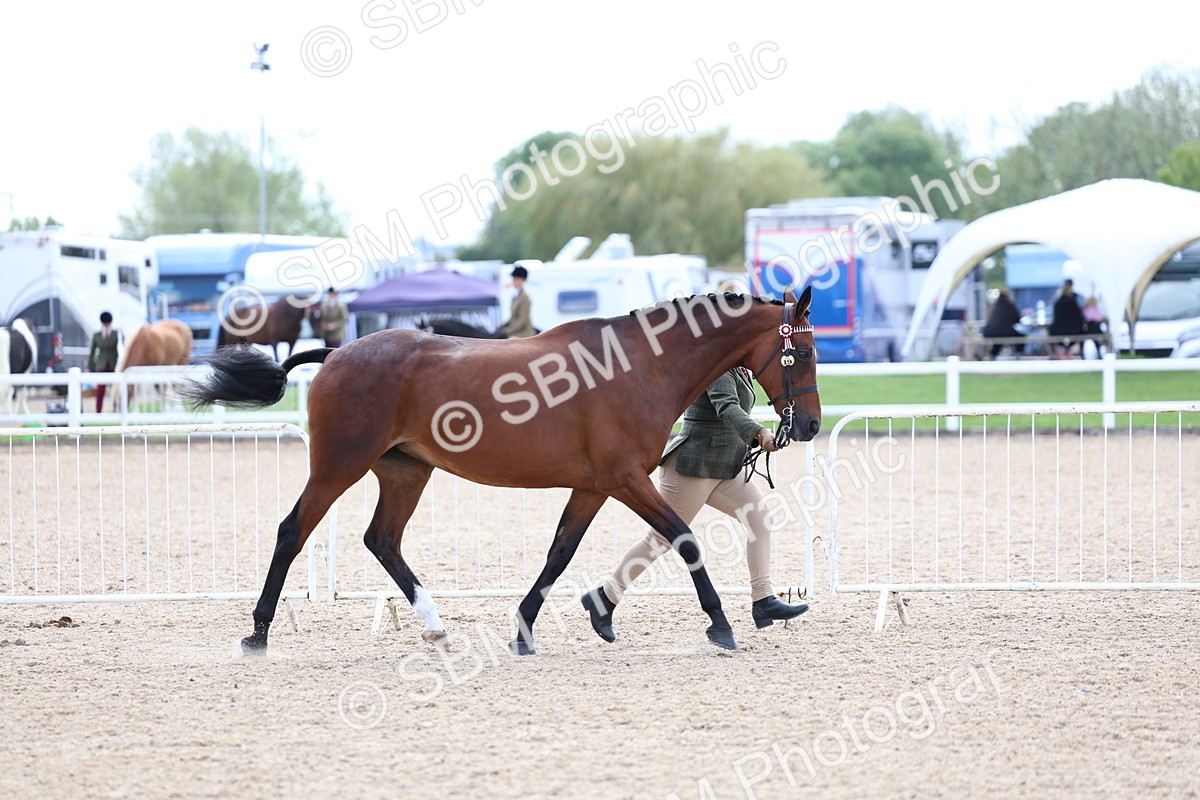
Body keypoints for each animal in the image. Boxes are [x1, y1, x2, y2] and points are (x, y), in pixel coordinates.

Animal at [180, 288, 822, 656]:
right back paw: (258, 632)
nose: (810, 425)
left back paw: (434, 625)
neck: (639, 365)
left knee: (382, 539)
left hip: (405, 472)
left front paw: (530, 630)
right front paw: (721, 625)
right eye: (805, 352)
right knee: (294, 530)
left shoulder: (593, 486)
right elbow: (684, 538)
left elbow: (559, 554)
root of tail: (337, 352)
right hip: (339, 465)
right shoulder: (625, 481)